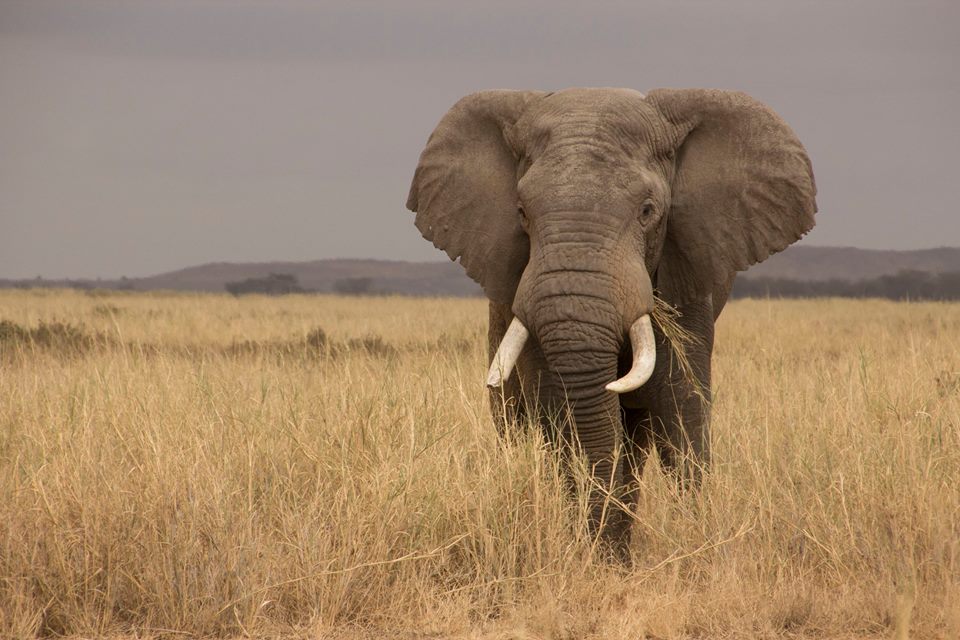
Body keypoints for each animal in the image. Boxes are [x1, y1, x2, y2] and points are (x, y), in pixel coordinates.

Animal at [405, 88, 817, 557]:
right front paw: (600, 554)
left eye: (648, 211)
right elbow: (559, 410)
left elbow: (681, 406)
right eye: (521, 212)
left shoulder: (687, 274)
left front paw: (694, 546)